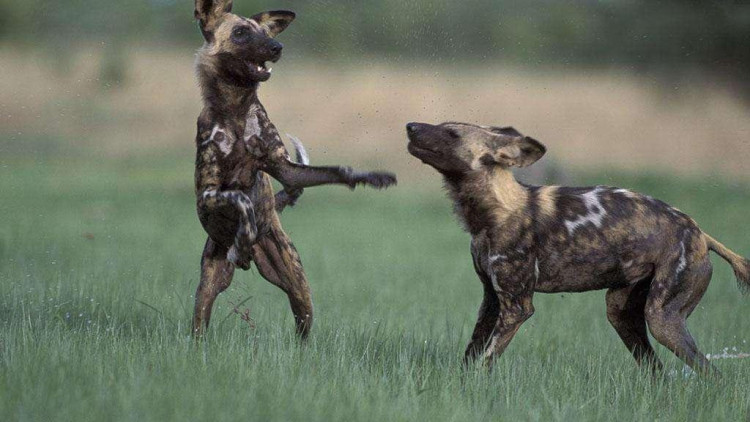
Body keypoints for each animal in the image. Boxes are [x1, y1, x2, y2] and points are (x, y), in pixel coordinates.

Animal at [192, 0, 400, 338]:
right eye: (240, 33)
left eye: (265, 33)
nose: (277, 47)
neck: (236, 109)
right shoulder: (208, 194)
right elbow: (242, 199)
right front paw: (243, 235)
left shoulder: (286, 169)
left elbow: (337, 171)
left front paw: (369, 177)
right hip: (206, 290)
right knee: (199, 326)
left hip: (300, 292)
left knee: (303, 329)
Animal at [408, 120, 748, 374]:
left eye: (452, 134)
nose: (411, 126)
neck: (494, 210)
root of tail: (701, 233)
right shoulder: (491, 301)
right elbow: (470, 357)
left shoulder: (517, 308)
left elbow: (486, 362)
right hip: (622, 313)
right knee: (659, 372)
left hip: (662, 319)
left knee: (710, 374)